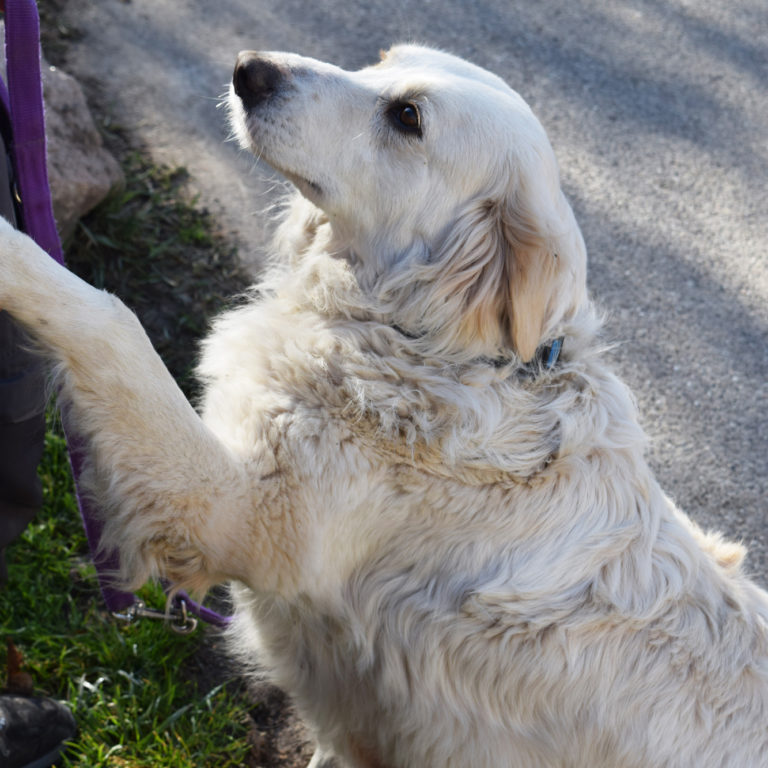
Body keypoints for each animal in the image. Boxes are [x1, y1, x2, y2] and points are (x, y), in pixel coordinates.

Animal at [1, 46, 768, 768]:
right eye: (379, 62)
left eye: (406, 117)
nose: (249, 69)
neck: (431, 346)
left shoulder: (233, 514)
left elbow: (111, 318)